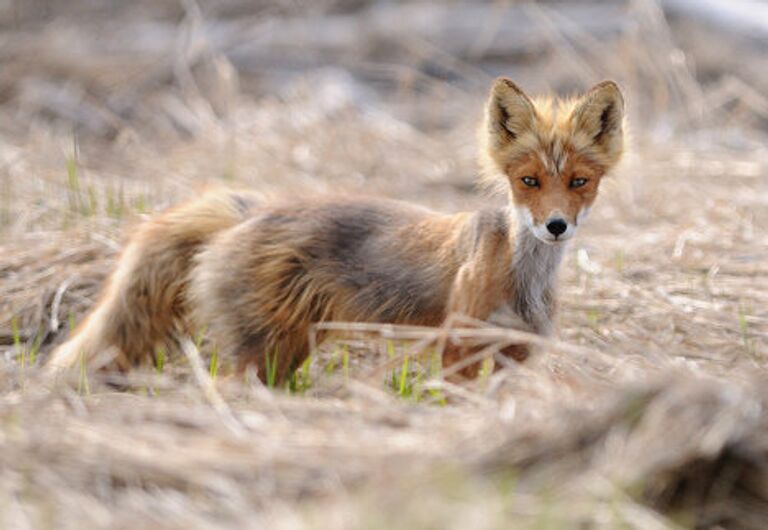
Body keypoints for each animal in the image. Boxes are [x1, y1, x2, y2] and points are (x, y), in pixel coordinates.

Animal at [46, 78, 624, 382]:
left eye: (579, 182)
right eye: (528, 181)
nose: (555, 226)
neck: (524, 279)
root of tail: (251, 212)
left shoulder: (515, 359)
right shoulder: (458, 351)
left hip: (291, 349)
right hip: (264, 351)